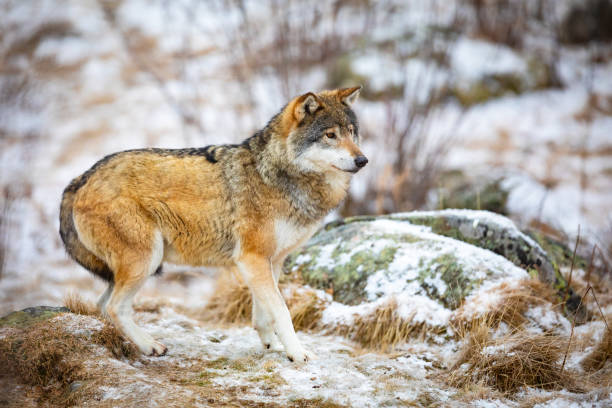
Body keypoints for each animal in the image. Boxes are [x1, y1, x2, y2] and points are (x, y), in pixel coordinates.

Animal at [59, 86, 368, 360]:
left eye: (353, 133)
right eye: (330, 135)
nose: (363, 160)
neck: (277, 175)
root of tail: (81, 178)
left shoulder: (271, 260)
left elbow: (263, 313)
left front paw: (272, 345)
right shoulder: (252, 258)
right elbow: (282, 311)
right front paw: (298, 353)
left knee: (101, 304)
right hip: (147, 260)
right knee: (114, 307)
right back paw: (150, 346)